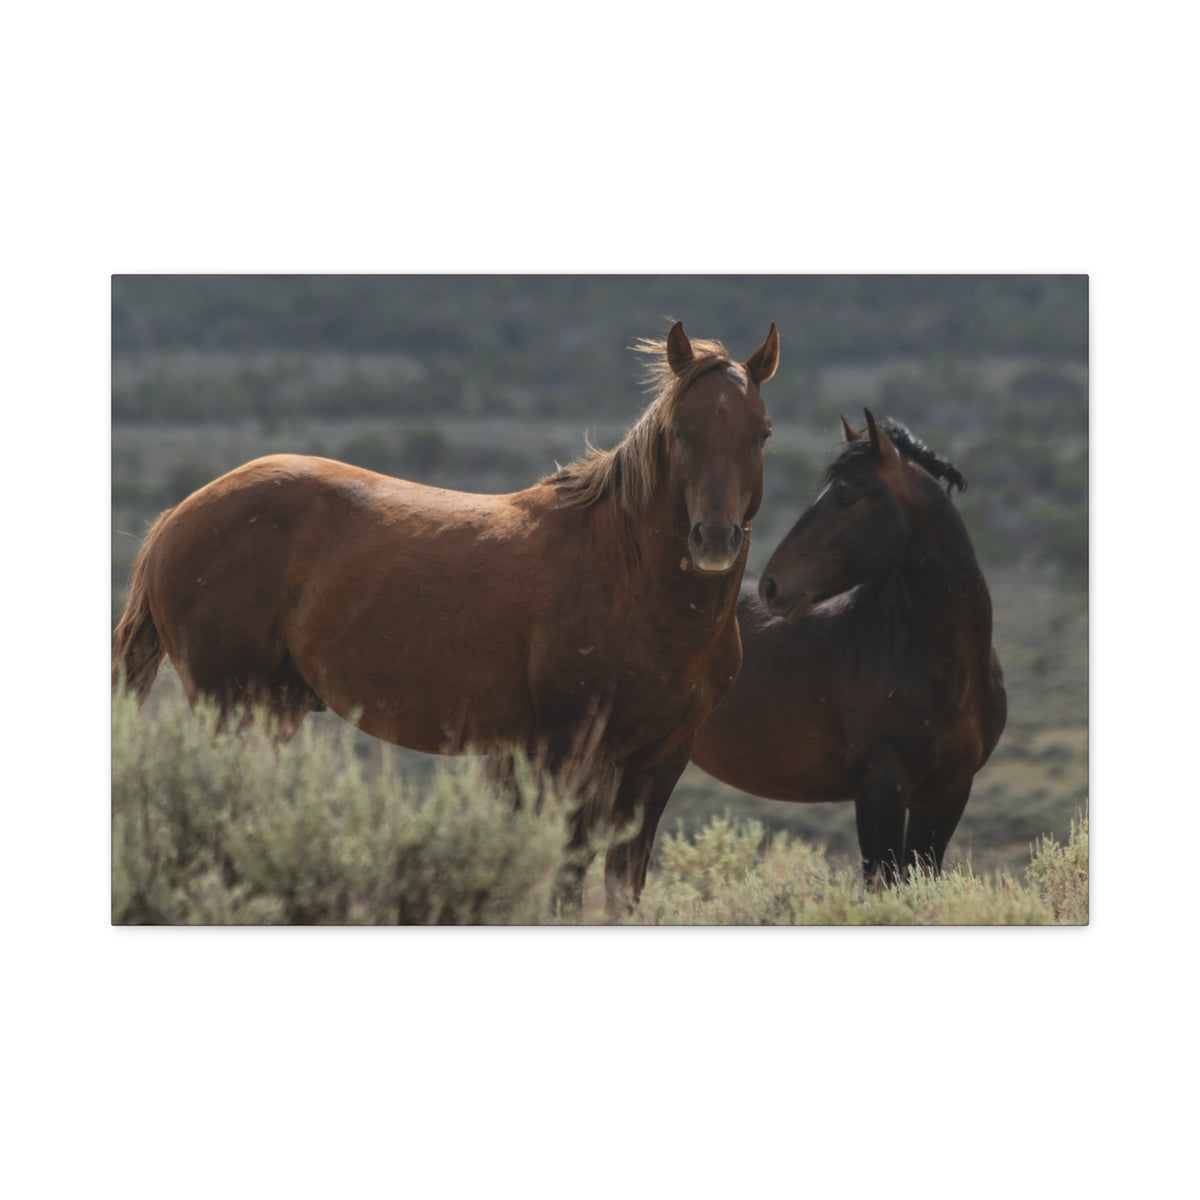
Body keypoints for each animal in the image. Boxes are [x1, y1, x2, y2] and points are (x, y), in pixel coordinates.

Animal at [112, 320, 779, 913]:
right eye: (681, 431)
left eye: (762, 433)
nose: (713, 538)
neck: (631, 575)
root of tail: (177, 516)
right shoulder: (567, 749)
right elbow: (562, 876)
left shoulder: (660, 758)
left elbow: (620, 887)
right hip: (229, 705)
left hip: (272, 709)